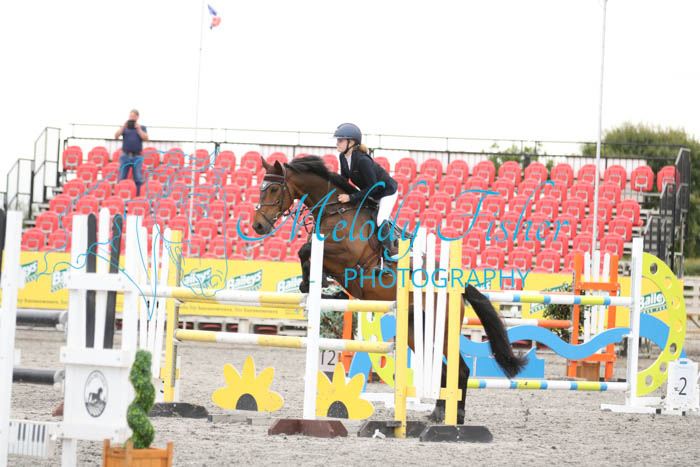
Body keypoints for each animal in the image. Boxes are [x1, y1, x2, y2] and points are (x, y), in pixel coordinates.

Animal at [251, 155, 526, 424]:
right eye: (260, 188)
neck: (335, 211)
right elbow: (306, 256)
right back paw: (440, 413)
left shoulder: (347, 255)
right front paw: (315, 285)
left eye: (273, 188)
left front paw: (313, 283)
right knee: (446, 369)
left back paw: (452, 416)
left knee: (461, 369)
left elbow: (305, 250)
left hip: (441, 329)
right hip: (417, 331)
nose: (258, 226)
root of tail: (457, 286)